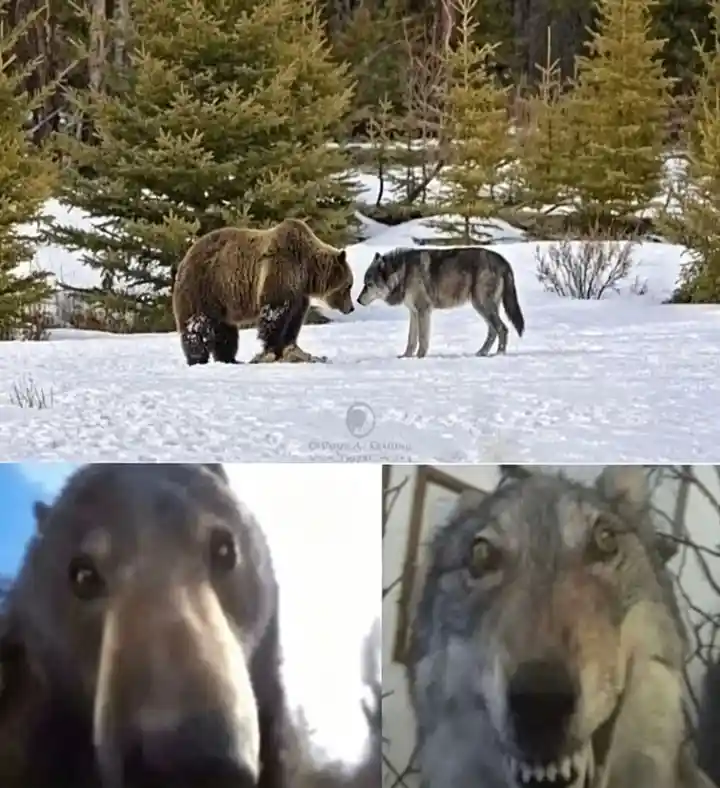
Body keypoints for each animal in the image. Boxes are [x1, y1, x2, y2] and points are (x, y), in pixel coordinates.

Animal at [172, 217, 355, 366]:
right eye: (349, 286)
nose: (351, 308)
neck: (307, 271)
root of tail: (186, 256)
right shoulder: (281, 271)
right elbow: (274, 313)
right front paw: (271, 350)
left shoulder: (299, 293)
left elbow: (294, 319)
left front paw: (289, 348)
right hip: (204, 287)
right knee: (197, 325)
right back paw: (197, 358)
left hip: (221, 302)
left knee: (225, 331)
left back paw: (230, 359)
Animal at [356, 246, 525, 358]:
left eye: (369, 284)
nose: (357, 300)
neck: (403, 273)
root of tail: (503, 261)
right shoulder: (413, 312)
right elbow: (411, 339)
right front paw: (406, 357)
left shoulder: (423, 310)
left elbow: (422, 338)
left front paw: (420, 357)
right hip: (484, 307)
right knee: (493, 331)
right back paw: (482, 353)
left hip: (482, 305)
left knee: (502, 329)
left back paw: (499, 355)